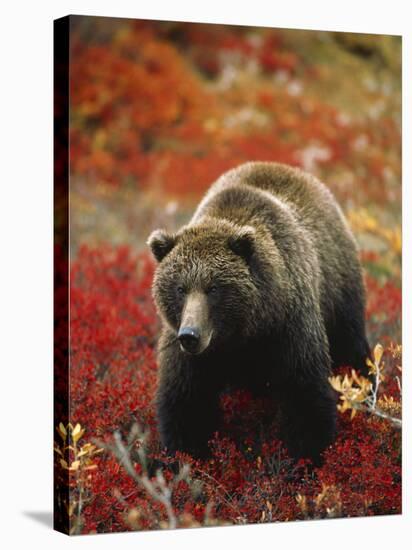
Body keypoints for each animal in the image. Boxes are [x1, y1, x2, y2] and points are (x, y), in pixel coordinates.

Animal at [148, 162, 370, 464]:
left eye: (213, 287)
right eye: (180, 288)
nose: (190, 335)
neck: (243, 332)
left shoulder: (288, 327)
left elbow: (305, 393)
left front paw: (307, 457)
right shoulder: (187, 351)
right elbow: (186, 402)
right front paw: (187, 457)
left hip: (339, 291)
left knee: (352, 348)